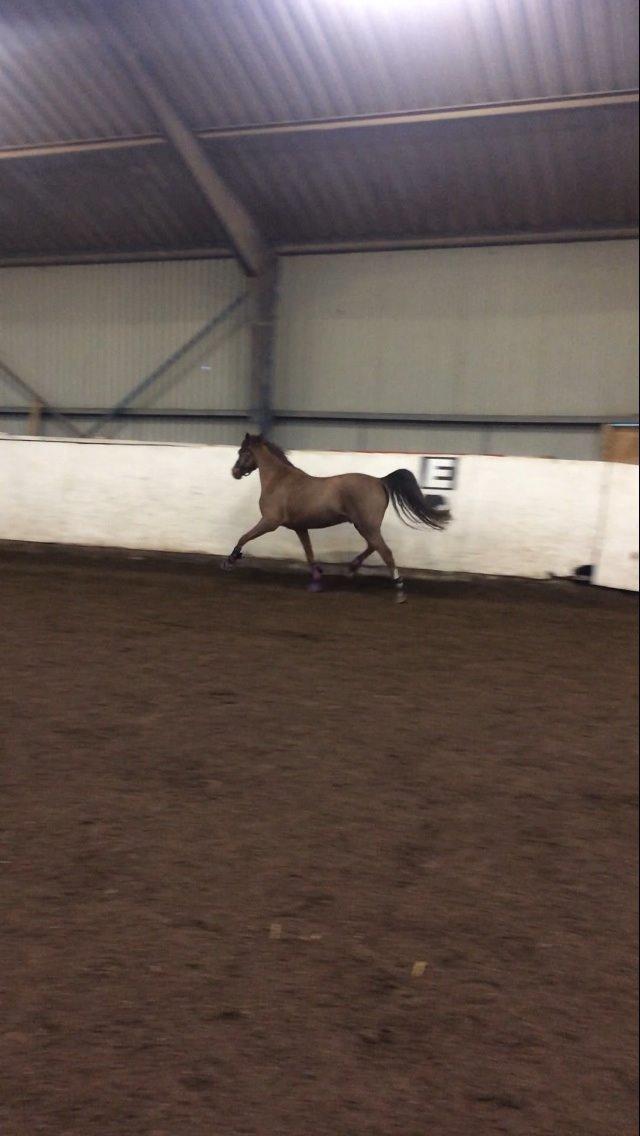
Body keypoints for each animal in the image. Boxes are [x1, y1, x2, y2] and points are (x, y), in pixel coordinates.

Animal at [221, 434, 451, 602]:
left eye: (243, 452)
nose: (234, 472)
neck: (279, 481)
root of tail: (380, 481)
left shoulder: (270, 522)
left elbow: (244, 537)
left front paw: (230, 560)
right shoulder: (300, 527)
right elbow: (309, 554)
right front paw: (316, 580)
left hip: (366, 526)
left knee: (385, 552)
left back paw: (399, 590)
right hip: (365, 525)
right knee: (373, 546)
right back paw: (351, 568)